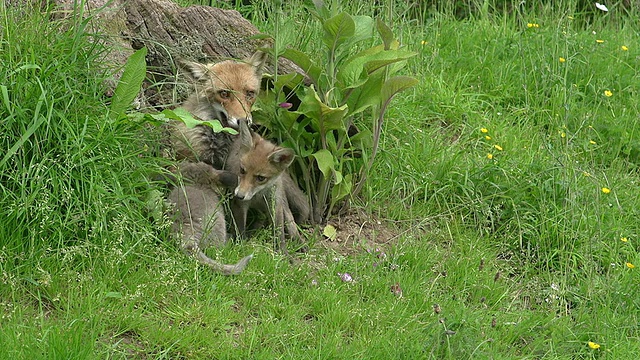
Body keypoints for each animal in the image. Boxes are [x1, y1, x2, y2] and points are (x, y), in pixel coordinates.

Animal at [225, 119, 310, 252]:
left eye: (261, 178)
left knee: (290, 221)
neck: (258, 196)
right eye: (242, 170)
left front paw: (282, 253)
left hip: (282, 201)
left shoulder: (275, 204)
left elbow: (279, 232)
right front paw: (241, 246)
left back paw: (299, 241)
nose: (239, 195)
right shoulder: (240, 204)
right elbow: (240, 228)